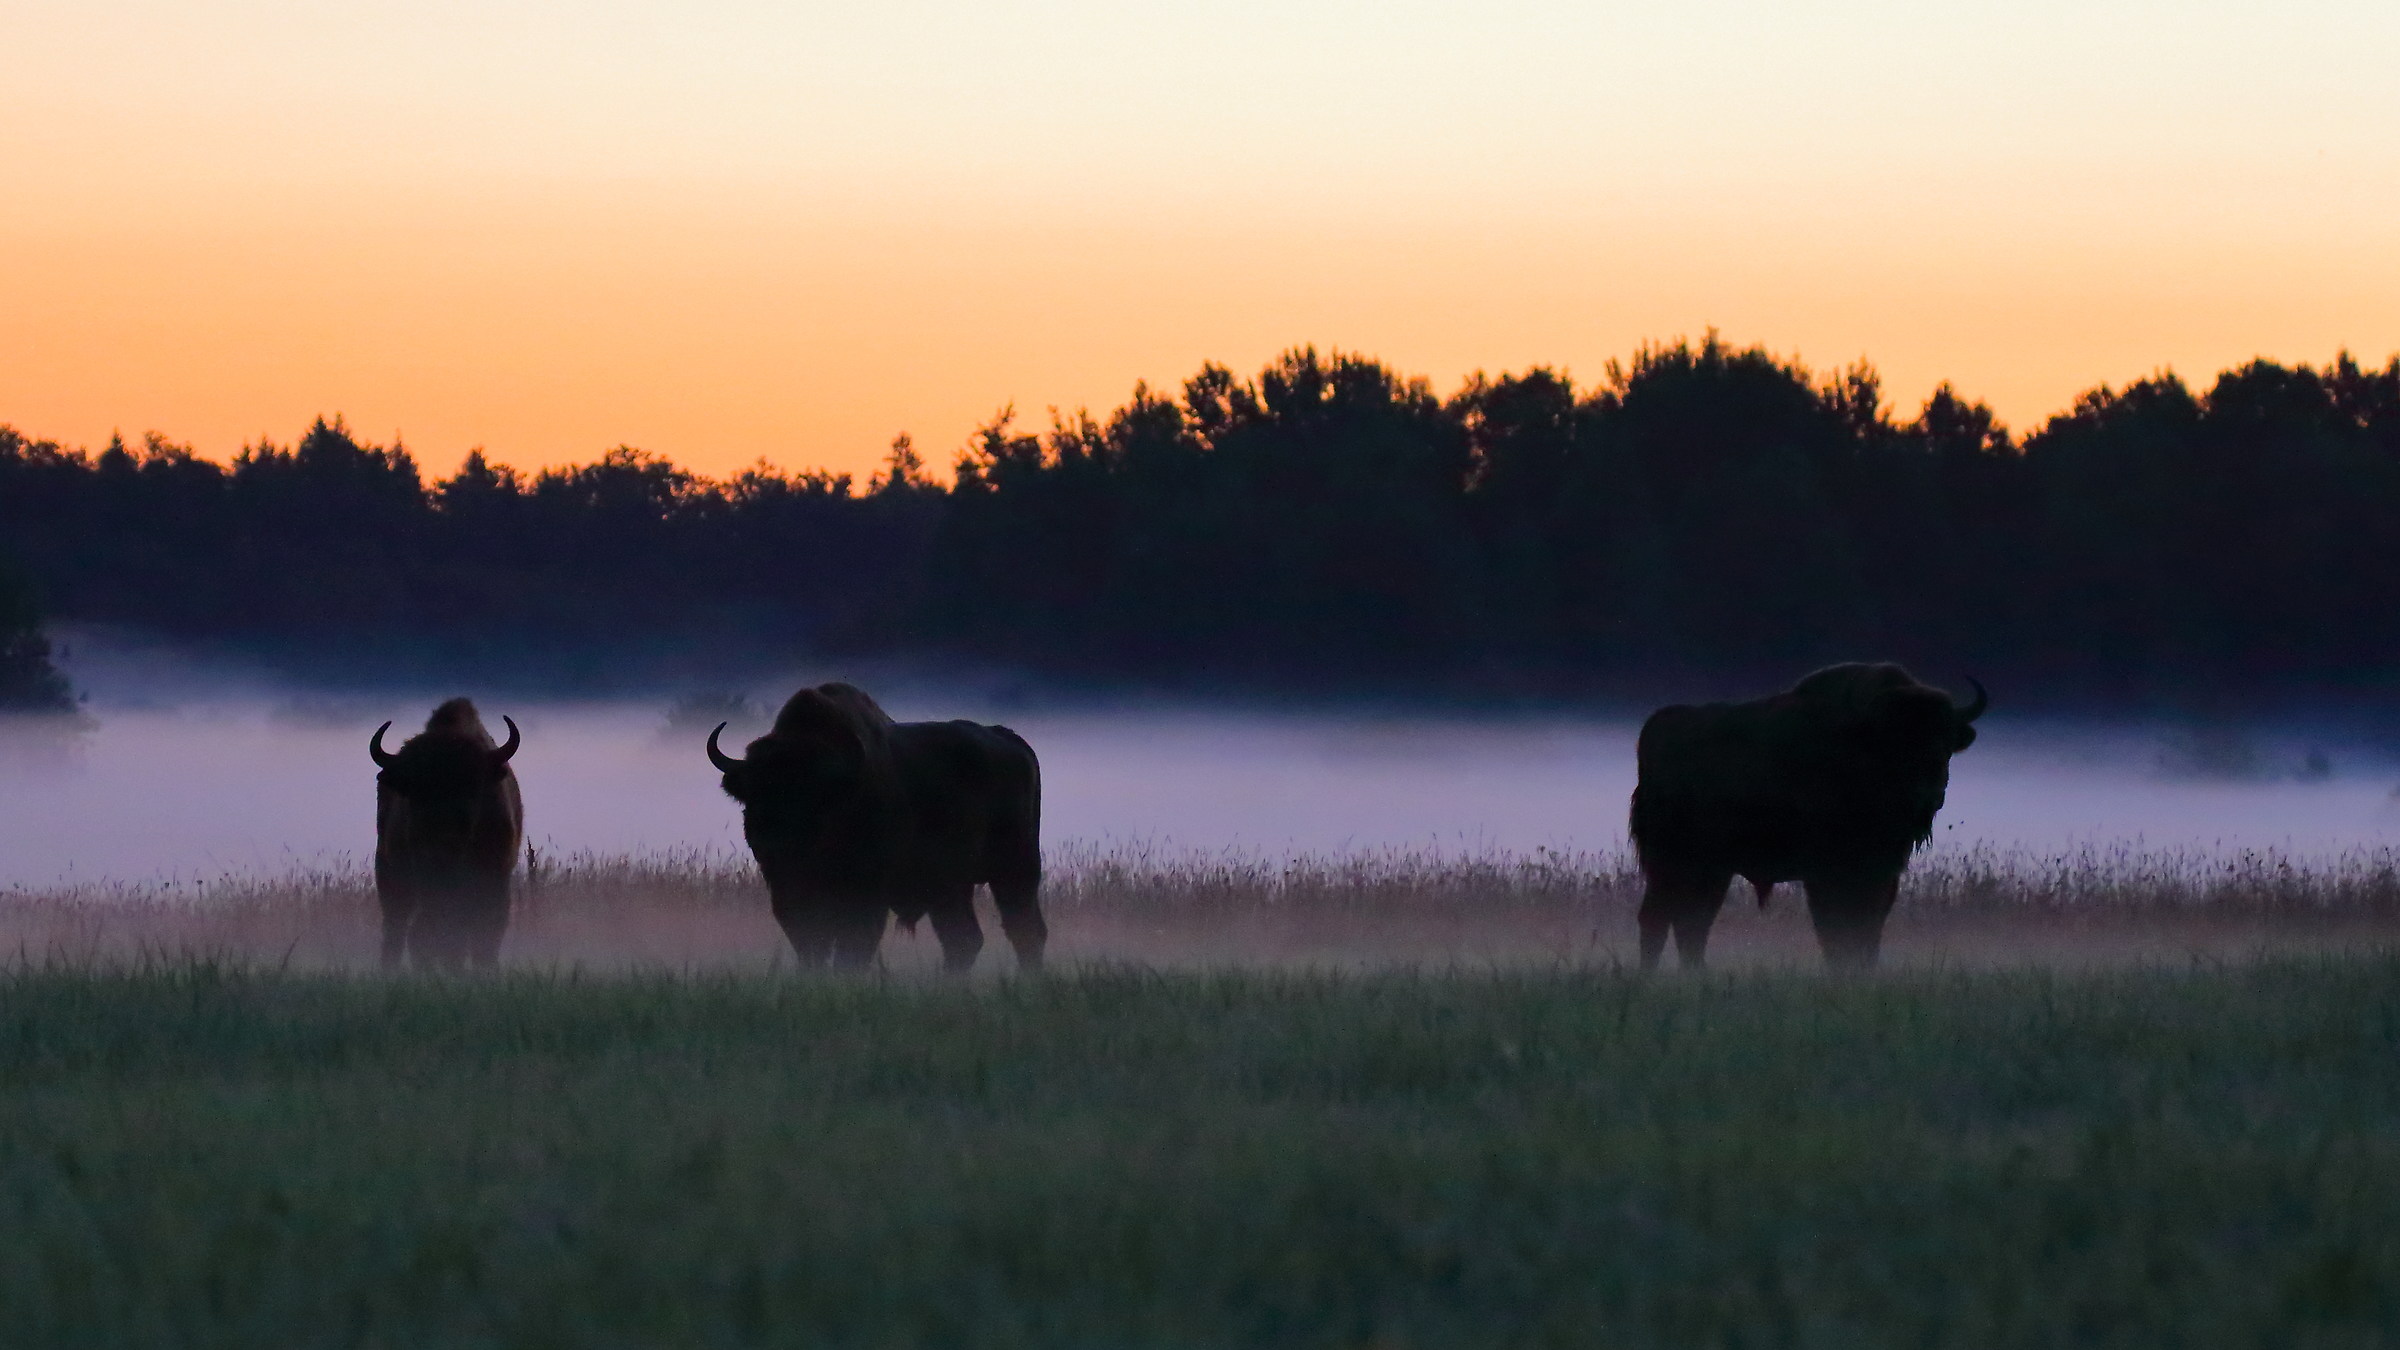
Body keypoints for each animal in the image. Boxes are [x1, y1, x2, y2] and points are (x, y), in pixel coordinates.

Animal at [370, 698, 523, 969]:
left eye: (471, 784)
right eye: (415, 789)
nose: (443, 839)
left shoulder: (496, 881)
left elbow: (487, 934)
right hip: (391, 877)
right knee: (399, 930)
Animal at [708, 682, 1046, 973]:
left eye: (815, 791)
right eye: (757, 789)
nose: (776, 835)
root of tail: (1012, 742)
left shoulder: (866, 893)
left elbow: (853, 946)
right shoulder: (788, 893)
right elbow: (811, 944)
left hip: (1014, 872)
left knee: (1024, 931)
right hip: (952, 888)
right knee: (965, 939)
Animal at [1628, 662, 1986, 971]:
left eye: (1945, 738)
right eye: (1898, 739)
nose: (1929, 793)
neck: (1861, 744)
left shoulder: (1882, 871)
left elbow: (1869, 926)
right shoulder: (1826, 872)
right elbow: (1836, 927)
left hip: (1709, 870)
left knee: (1690, 922)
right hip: (1674, 865)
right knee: (1660, 919)